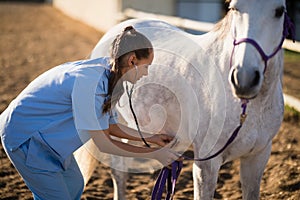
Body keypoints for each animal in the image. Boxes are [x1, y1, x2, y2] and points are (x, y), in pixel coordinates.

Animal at [74, 0, 292, 199]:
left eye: (279, 11)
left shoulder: (257, 158)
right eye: (234, 8)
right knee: (119, 172)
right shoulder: (206, 165)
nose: (244, 78)